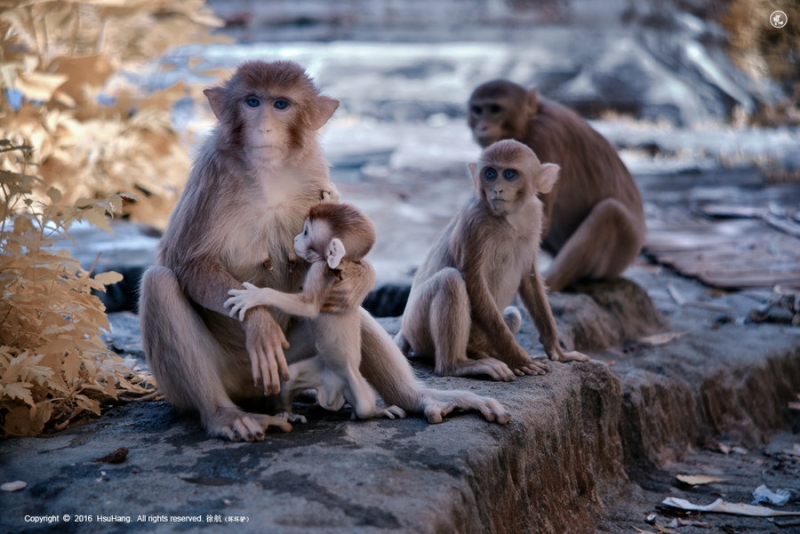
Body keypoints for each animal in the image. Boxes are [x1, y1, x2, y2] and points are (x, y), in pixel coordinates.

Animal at [223, 201, 406, 422]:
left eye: (306, 232)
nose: (295, 238)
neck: (341, 264)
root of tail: (333, 392)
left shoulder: (320, 269)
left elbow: (309, 307)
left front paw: (257, 295)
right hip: (320, 371)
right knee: (292, 376)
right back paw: (288, 413)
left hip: (353, 382)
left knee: (365, 406)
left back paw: (375, 410)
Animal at [398, 140, 592, 384]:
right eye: (490, 173)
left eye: (509, 174)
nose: (497, 189)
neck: (510, 218)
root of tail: (404, 330)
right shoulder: (474, 222)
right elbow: (474, 282)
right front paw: (519, 359)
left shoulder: (535, 216)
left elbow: (530, 278)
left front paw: (557, 350)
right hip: (417, 328)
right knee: (450, 280)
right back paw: (458, 365)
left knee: (513, 315)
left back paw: (479, 353)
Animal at [468, 78, 644, 294]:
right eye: (477, 110)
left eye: (495, 109)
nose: (482, 127)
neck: (530, 121)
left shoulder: (544, 139)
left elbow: (539, 219)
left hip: (624, 250)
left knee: (609, 212)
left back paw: (550, 282)